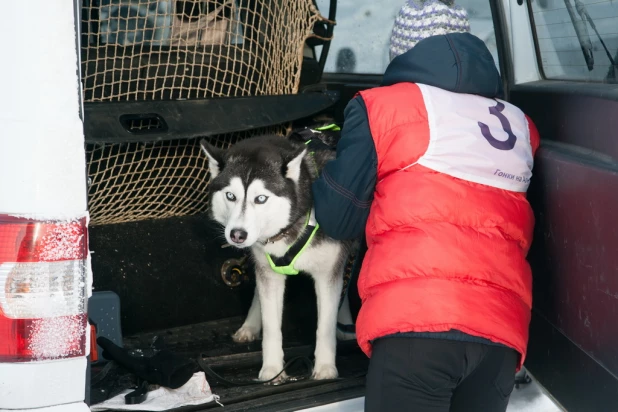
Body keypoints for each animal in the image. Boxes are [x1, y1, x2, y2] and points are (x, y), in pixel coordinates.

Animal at [199, 134, 352, 380]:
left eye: (261, 198)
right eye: (231, 196)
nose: (237, 235)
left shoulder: (327, 273)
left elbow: (325, 326)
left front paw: (325, 368)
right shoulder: (269, 272)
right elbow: (271, 326)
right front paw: (271, 370)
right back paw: (251, 324)